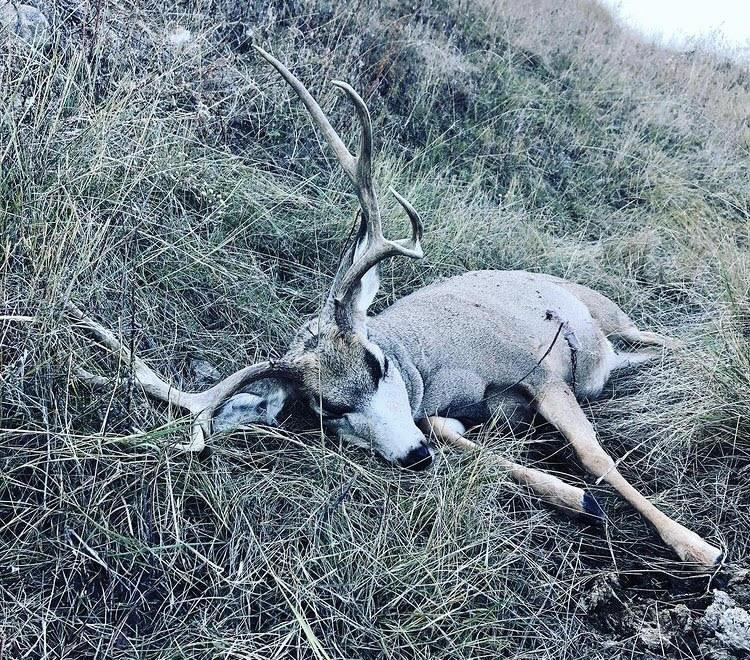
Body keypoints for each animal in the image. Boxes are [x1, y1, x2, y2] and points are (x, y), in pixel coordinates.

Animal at [65, 45, 723, 568]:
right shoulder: (458, 411)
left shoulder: (541, 372)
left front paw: (697, 546)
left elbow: (594, 455)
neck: (435, 365)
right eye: (328, 411)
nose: (412, 456)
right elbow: (471, 441)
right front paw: (579, 501)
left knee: (664, 341)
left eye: (377, 364)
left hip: (612, 318)